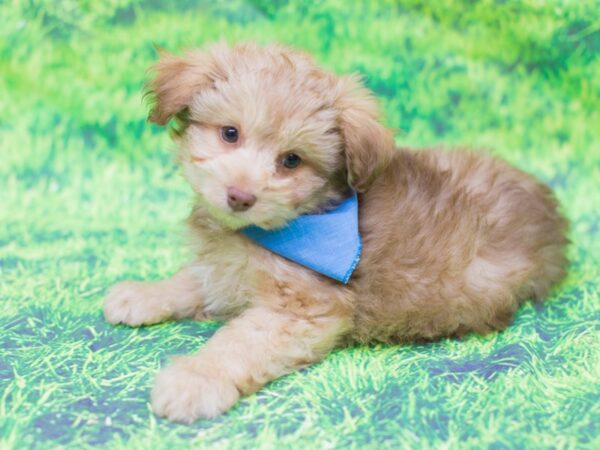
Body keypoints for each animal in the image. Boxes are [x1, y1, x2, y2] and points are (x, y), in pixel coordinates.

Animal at [102, 42, 568, 422]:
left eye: (291, 161)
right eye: (229, 133)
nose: (240, 196)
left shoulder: (302, 312)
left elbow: (238, 343)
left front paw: (197, 378)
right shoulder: (224, 268)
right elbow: (194, 278)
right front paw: (145, 294)